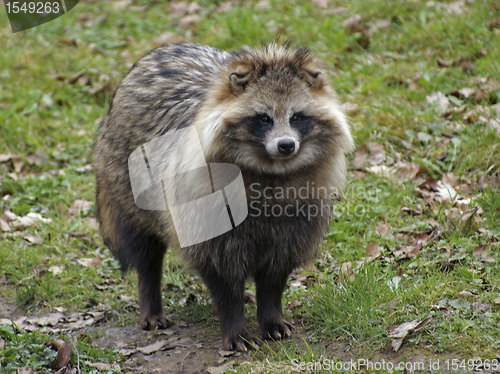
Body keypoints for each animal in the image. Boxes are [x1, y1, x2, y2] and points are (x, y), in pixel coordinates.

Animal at [93, 42, 352, 352]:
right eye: (263, 118)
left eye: (296, 117)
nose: (286, 145)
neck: (271, 172)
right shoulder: (206, 214)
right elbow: (221, 274)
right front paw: (234, 324)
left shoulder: (297, 219)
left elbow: (274, 274)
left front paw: (270, 314)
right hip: (126, 183)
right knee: (145, 251)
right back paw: (150, 297)